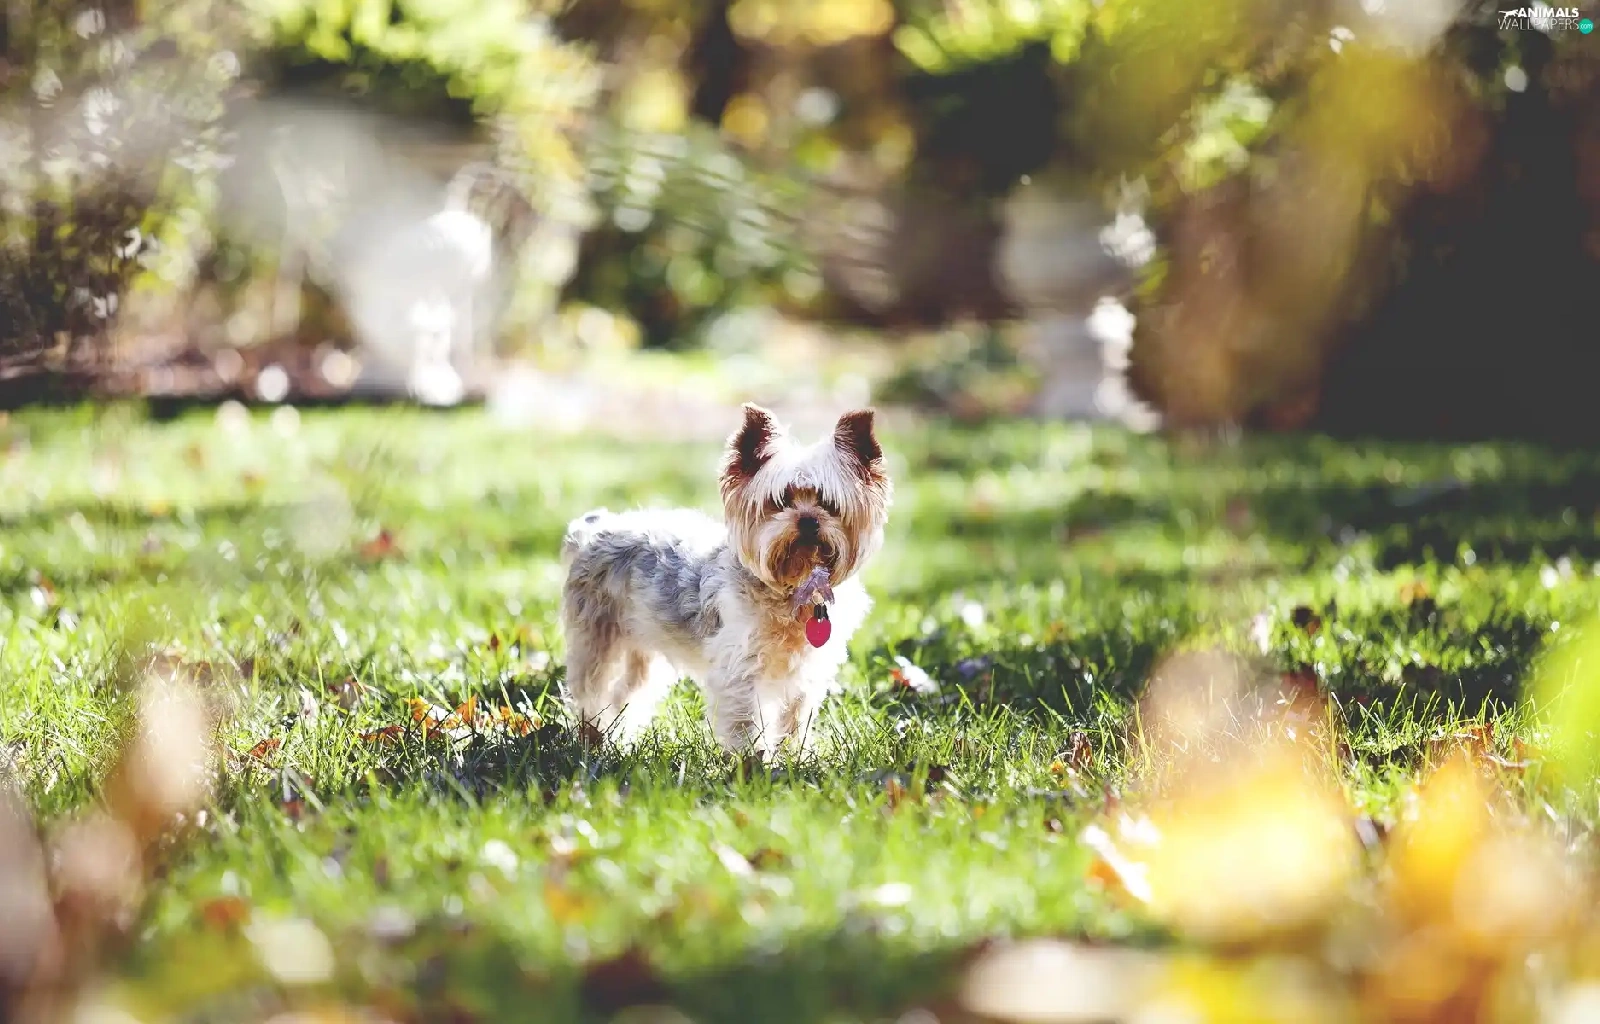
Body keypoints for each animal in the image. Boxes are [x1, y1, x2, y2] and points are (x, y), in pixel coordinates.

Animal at [559, 404, 892, 757]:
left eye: (829, 504)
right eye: (780, 501)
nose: (808, 521)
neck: (796, 588)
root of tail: (594, 529)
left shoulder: (807, 672)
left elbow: (796, 718)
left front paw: (796, 758)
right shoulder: (741, 668)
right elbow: (748, 722)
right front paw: (755, 762)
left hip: (643, 646)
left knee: (627, 693)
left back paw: (617, 739)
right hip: (596, 636)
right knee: (592, 690)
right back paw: (592, 739)